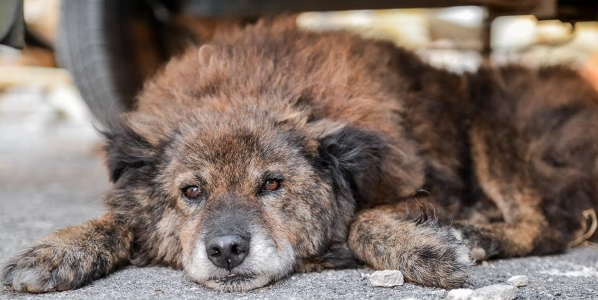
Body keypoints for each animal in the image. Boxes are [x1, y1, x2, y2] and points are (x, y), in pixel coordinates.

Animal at [1, 17, 598, 292]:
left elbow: (363, 221)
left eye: (272, 184)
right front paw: (56, 251)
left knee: (550, 223)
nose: (226, 250)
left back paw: (479, 235)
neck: (247, 88)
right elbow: (118, 218)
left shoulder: (419, 184)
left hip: (499, 118)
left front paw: (425, 250)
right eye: (191, 192)